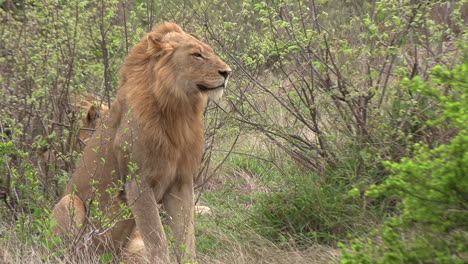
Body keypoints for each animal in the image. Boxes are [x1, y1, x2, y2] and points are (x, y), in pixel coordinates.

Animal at [51, 21, 232, 262]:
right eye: (197, 55)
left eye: (209, 51)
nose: (227, 72)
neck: (178, 112)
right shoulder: (138, 183)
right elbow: (158, 241)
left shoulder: (181, 182)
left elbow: (187, 240)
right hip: (68, 203)